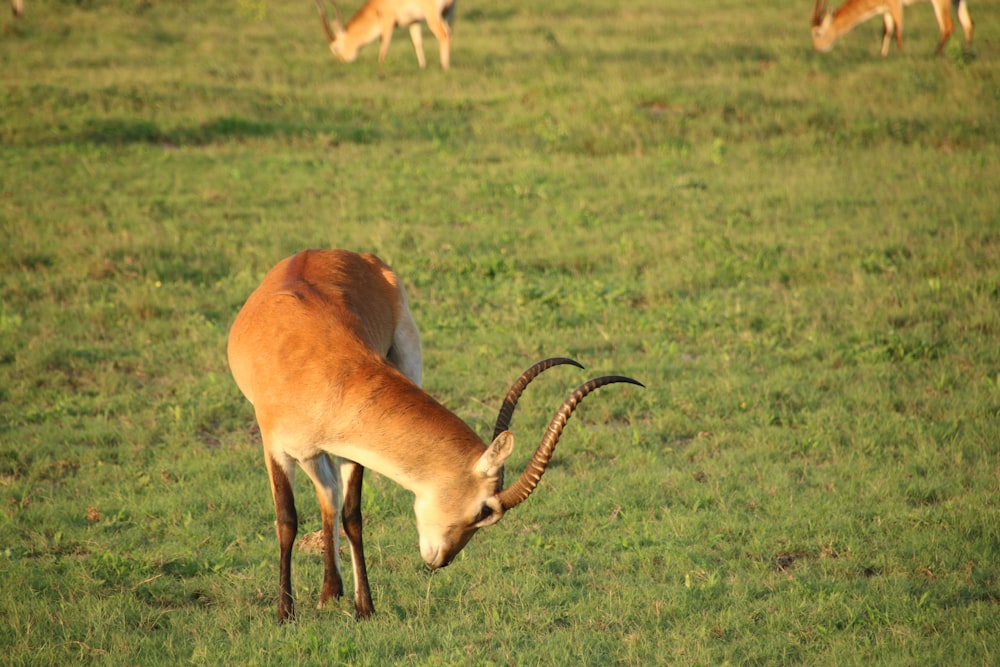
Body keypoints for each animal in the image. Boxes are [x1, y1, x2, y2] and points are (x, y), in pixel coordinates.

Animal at [228, 249, 644, 620]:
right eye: (485, 510)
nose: (440, 561)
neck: (325, 366)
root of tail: (339, 253)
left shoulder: (352, 447)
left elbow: (352, 515)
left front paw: (365, 608)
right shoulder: (275, 447)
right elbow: (286, 520)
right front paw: (284, 613)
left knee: (329, 493)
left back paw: (332, 592)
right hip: (306, 449)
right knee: (323, 494)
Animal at [312, 0, 458, 69]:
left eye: (335, 48)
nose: (341, 61)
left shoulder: (388, 23)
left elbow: (384, 46)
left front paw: (380, 66)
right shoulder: (414, 21)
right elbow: (417, 43)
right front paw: (423, 67)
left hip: (432, 17)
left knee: (443, 35)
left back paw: (444, 67)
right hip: (447, 14)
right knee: (449, 34)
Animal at [812, 0, 976, 55]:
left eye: (818, 32)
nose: (817, 47)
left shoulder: (896, 5)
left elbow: (898, 31)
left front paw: (901, 55)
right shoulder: (886, 10)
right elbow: (887, 31)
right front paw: (882, 55)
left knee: (948, 25)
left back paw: (934, 54)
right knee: (968, 24)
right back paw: (966, 52)